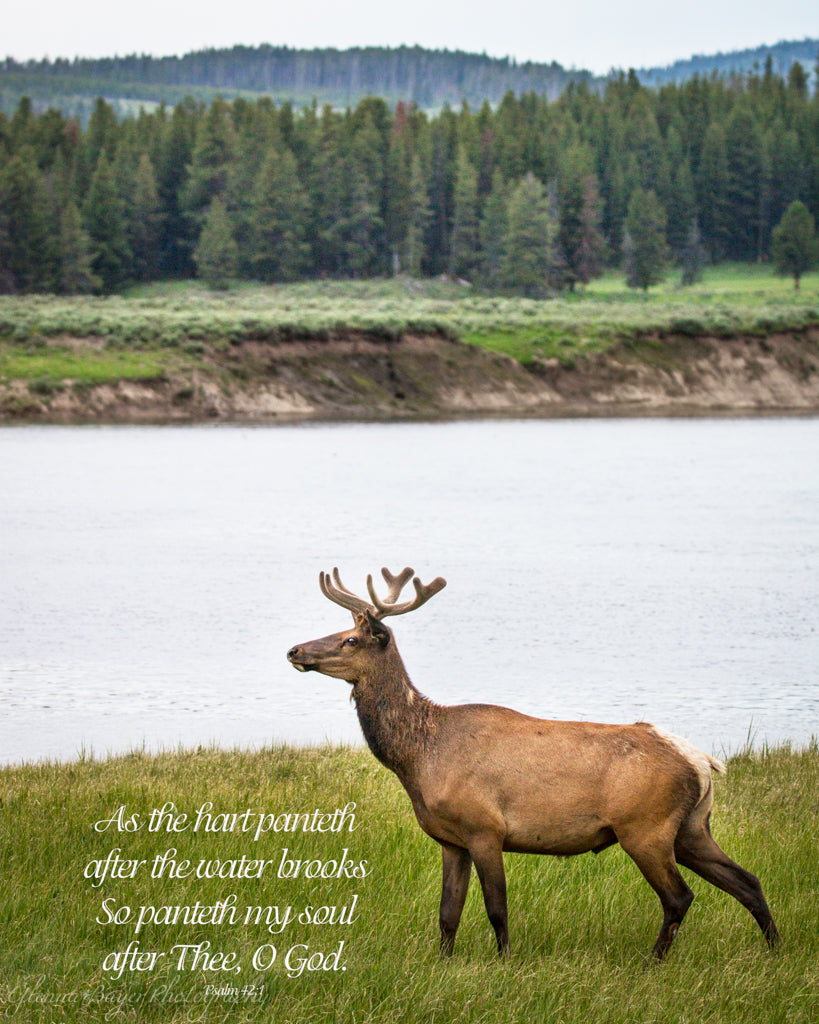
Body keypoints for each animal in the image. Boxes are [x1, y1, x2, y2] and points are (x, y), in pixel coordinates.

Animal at [286, 567, 780, 961]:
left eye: (350, 639)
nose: (294, 651)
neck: (419, 760)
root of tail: (701, 762)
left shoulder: (485, 828)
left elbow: (496, 908)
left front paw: (505, 961)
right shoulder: (450, 839)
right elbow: (448, 912)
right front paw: (442, 962)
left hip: (646, 827)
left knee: (679, 896)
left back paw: (654, 960)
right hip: (692, 827)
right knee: (749, 881)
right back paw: (776, 949)